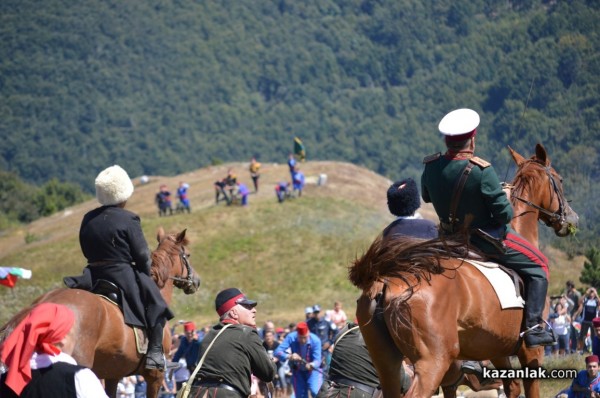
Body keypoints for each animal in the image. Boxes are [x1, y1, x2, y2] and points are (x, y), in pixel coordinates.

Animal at [350, 144, 580, 398]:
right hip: (433, 361)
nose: (572, 218)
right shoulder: (531, 353)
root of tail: (387, 281)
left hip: (386, 362)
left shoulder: (497, 348)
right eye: (559, 180)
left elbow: (511, 386)